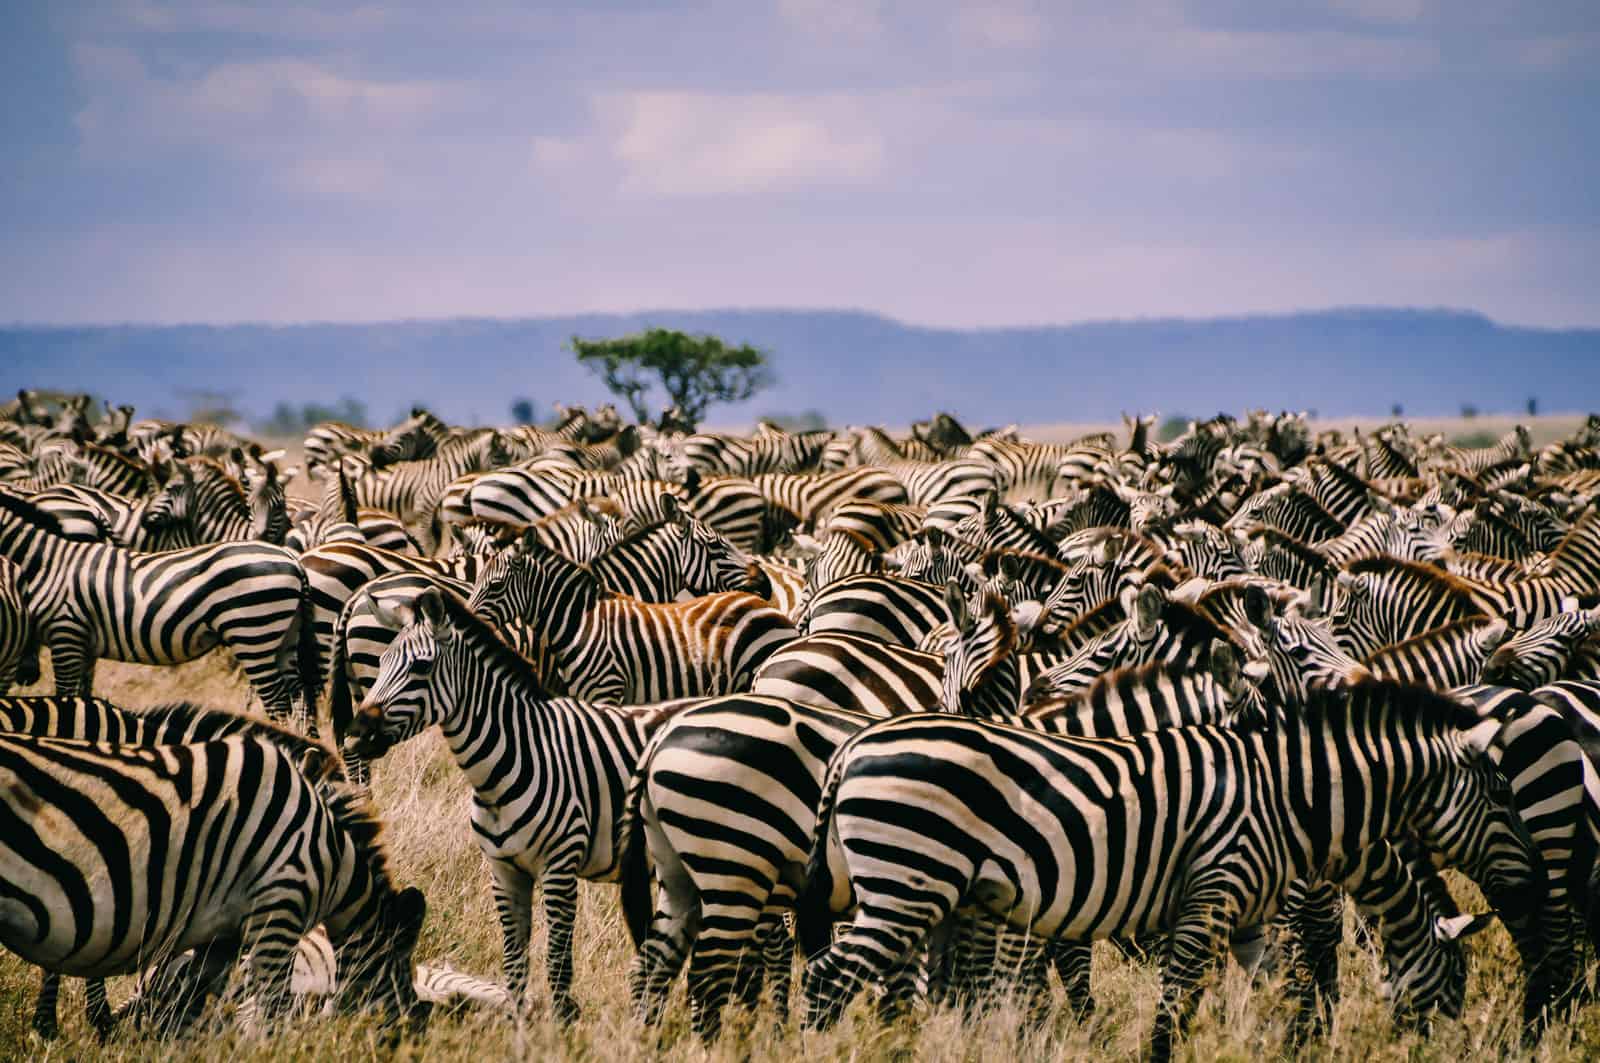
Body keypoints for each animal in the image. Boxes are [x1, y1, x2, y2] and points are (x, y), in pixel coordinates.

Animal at [0, 490, 318, 724]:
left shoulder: (66, 632)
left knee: (278, 702)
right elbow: (83, 692)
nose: (28, 676)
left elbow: (65, 694)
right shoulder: (84, 643)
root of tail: (293, 560)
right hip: (284, 636)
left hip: (253, 632)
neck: (46, 559)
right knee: (299, 699)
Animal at [0, 730, 429, 1037]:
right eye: (401, 978)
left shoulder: (219, 941)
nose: (414, 1035)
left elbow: (188, 1019)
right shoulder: (278, 910)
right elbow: (270, 1016)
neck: (332, 857)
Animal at [338, 585, 697, 1022]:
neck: (516, 754)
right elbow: (514, 963)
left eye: (421, 668)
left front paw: (561, 1025)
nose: (355, 734)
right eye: (382, 662)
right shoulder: (504, 870)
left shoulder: (560, 868)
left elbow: (557, 962)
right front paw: (517, 1025)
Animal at [468, 531, 798, 704]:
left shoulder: (606, 691)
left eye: (494, 585)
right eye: (476, 580)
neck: (580, 623)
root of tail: (769, 608)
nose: (468, 618)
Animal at [795, 682, 1555, 1061]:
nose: (1534, 879)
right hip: (906, 885)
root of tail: (856, 742)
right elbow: (1174, 1006)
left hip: (916, 892)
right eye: (1502, 793)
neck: (1295, 802)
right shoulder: (1211, 895)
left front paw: (1288, 1047)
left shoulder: (1248, 918)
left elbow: (1278, 993)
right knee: (828, 978)